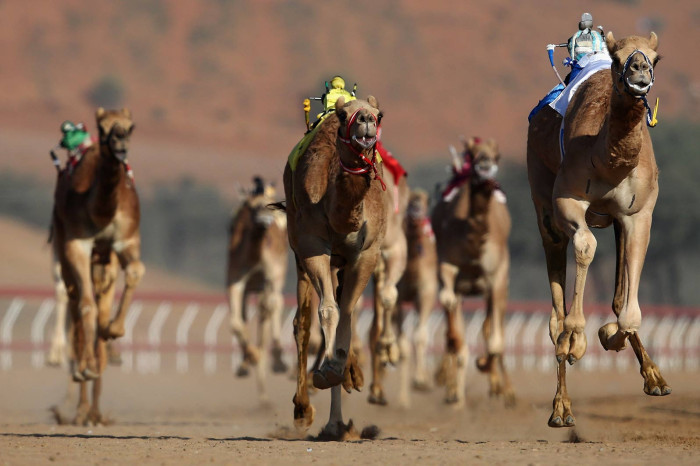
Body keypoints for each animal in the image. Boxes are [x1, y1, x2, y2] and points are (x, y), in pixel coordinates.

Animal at [51, 107, 144, 424]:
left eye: (131, 126)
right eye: (102, 128)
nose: (120, 143)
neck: (100, 212)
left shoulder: (126, 240)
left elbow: (136, 271)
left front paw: (114, 329)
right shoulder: (76, 244)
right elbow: (86, 307)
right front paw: (86, 368)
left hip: (105, 262)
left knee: (100, 301)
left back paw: (94, 410)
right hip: (63, 247)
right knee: (76, 306)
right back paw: (81, 401)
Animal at [226, 175, 288, 400]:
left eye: (268, 205)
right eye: (251, 207)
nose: (264, 219)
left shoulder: (271, 276)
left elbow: (268, 310)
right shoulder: (234, 279)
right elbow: (236, 322)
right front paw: (249, 358)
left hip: (277, 277)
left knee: (275, 305)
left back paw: (278, 362)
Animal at [282, 95, 386, 440]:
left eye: (380, 115)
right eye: (343, 115)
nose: (366, 120)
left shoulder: (367, 253)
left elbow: (348, 315)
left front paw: (340, 368)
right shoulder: (312, 245)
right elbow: (328, 311)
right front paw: (327, 370)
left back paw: (338, 421)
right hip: (300, 251)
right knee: (302, 324)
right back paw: (307, 411)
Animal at [430, 137, 512, 408]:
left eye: (497, 155)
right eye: (472, 153)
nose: (485, 163)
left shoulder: (497, 277)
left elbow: (494, 340)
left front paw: (485, 366)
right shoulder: (446, 265)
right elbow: (453, 326)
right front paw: (455, 393)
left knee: (493, 328)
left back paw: (505, 390)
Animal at [524, 31, 668, 428]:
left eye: (656, 57)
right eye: (618, 59)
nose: (639, 71)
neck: (607, 160)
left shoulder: (638, 213)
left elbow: (628, 311)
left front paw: (609, 335)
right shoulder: (567, 200)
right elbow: (586, 246)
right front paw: (579, 339)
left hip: (615, 220)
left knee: (617, 297)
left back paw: (655, 378)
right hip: (543, 201)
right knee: (555, 313)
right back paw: (561, 407)